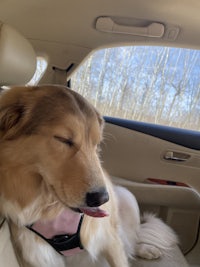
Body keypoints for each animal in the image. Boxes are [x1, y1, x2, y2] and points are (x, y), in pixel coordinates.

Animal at [0, 86, 178, 267]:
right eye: (63, 139)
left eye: (96, 144)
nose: (102, 199)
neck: (50, 207)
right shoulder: (38, 256)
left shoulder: (109, 240)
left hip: (128, 198)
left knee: (130, 242)